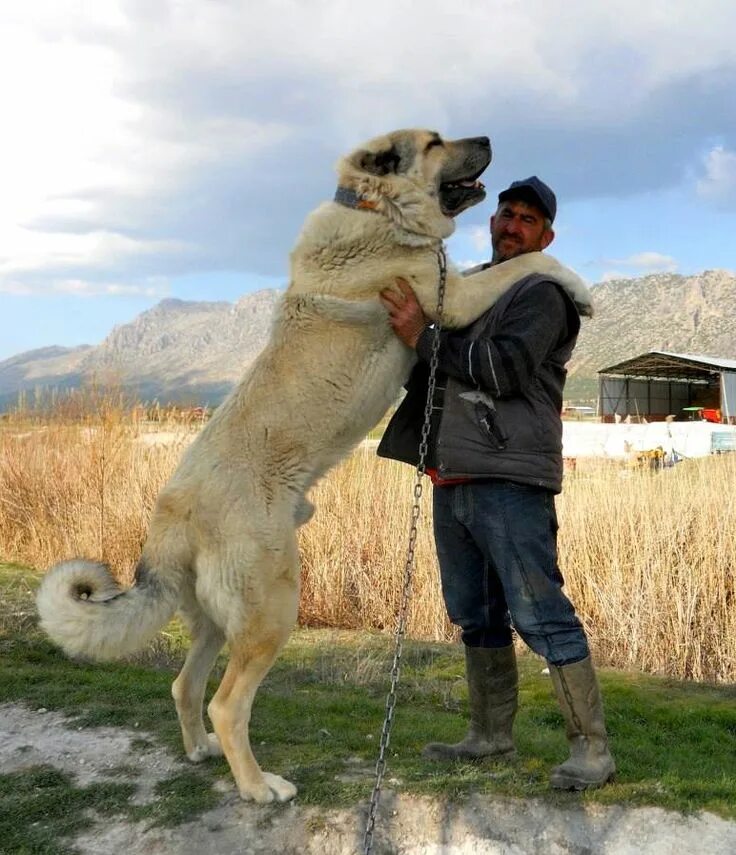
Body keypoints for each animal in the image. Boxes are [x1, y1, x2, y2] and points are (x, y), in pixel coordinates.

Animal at [38, 125, 592, 804]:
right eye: (436, 141)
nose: (488, 135)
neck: (376, 209)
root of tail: (172, 516)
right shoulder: (453, 297)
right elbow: (527, 265)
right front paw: (580, 289)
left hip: (218, 619)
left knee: (185, 684)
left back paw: (199, 751)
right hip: (273, 608)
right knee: (227, 703)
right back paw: (258, 788)